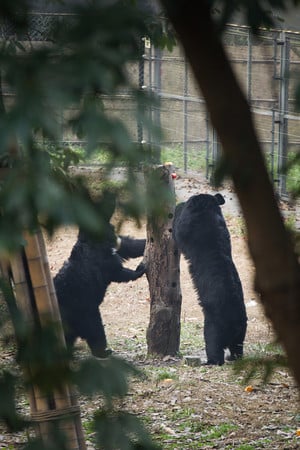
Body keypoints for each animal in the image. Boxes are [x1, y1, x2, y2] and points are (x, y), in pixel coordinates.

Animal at [55, 200, 148, 358]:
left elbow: (128, 246)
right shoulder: (102, 261)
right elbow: (118, 272)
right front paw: (140, 269)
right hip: (84, 310)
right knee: (95, 330)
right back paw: (103, 351)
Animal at [172, 193, 247, 366]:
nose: (184, 201)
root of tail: (236, 321)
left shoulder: (190, 229)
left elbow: (178, 230)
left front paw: (177, 208)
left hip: (214, 324)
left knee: (213, 344)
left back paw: (211, 361)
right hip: (241, 333)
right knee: (237, 347)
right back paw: (232, 357)